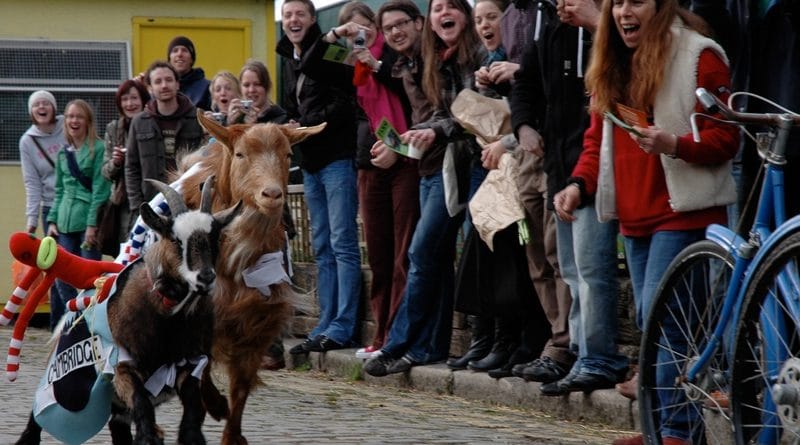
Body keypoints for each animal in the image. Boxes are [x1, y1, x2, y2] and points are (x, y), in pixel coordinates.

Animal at [14, 177, 241, 445]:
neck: (167, 325)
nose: (205, 278)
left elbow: (194, 410)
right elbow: (143, 406)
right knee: (39, 413)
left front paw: (190, 435)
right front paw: (148, 436)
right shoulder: (121, 366)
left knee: (118, 426)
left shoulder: (190, 364)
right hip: (67, 386)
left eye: (215, 239)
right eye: (175, 239)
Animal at [176, 112, 324, 445]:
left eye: (288, 154)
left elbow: (241, 386)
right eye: (241, 154)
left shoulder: (258, 322)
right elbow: (201, 364)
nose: (271, 194)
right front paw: (216, 405)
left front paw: (232, 433)